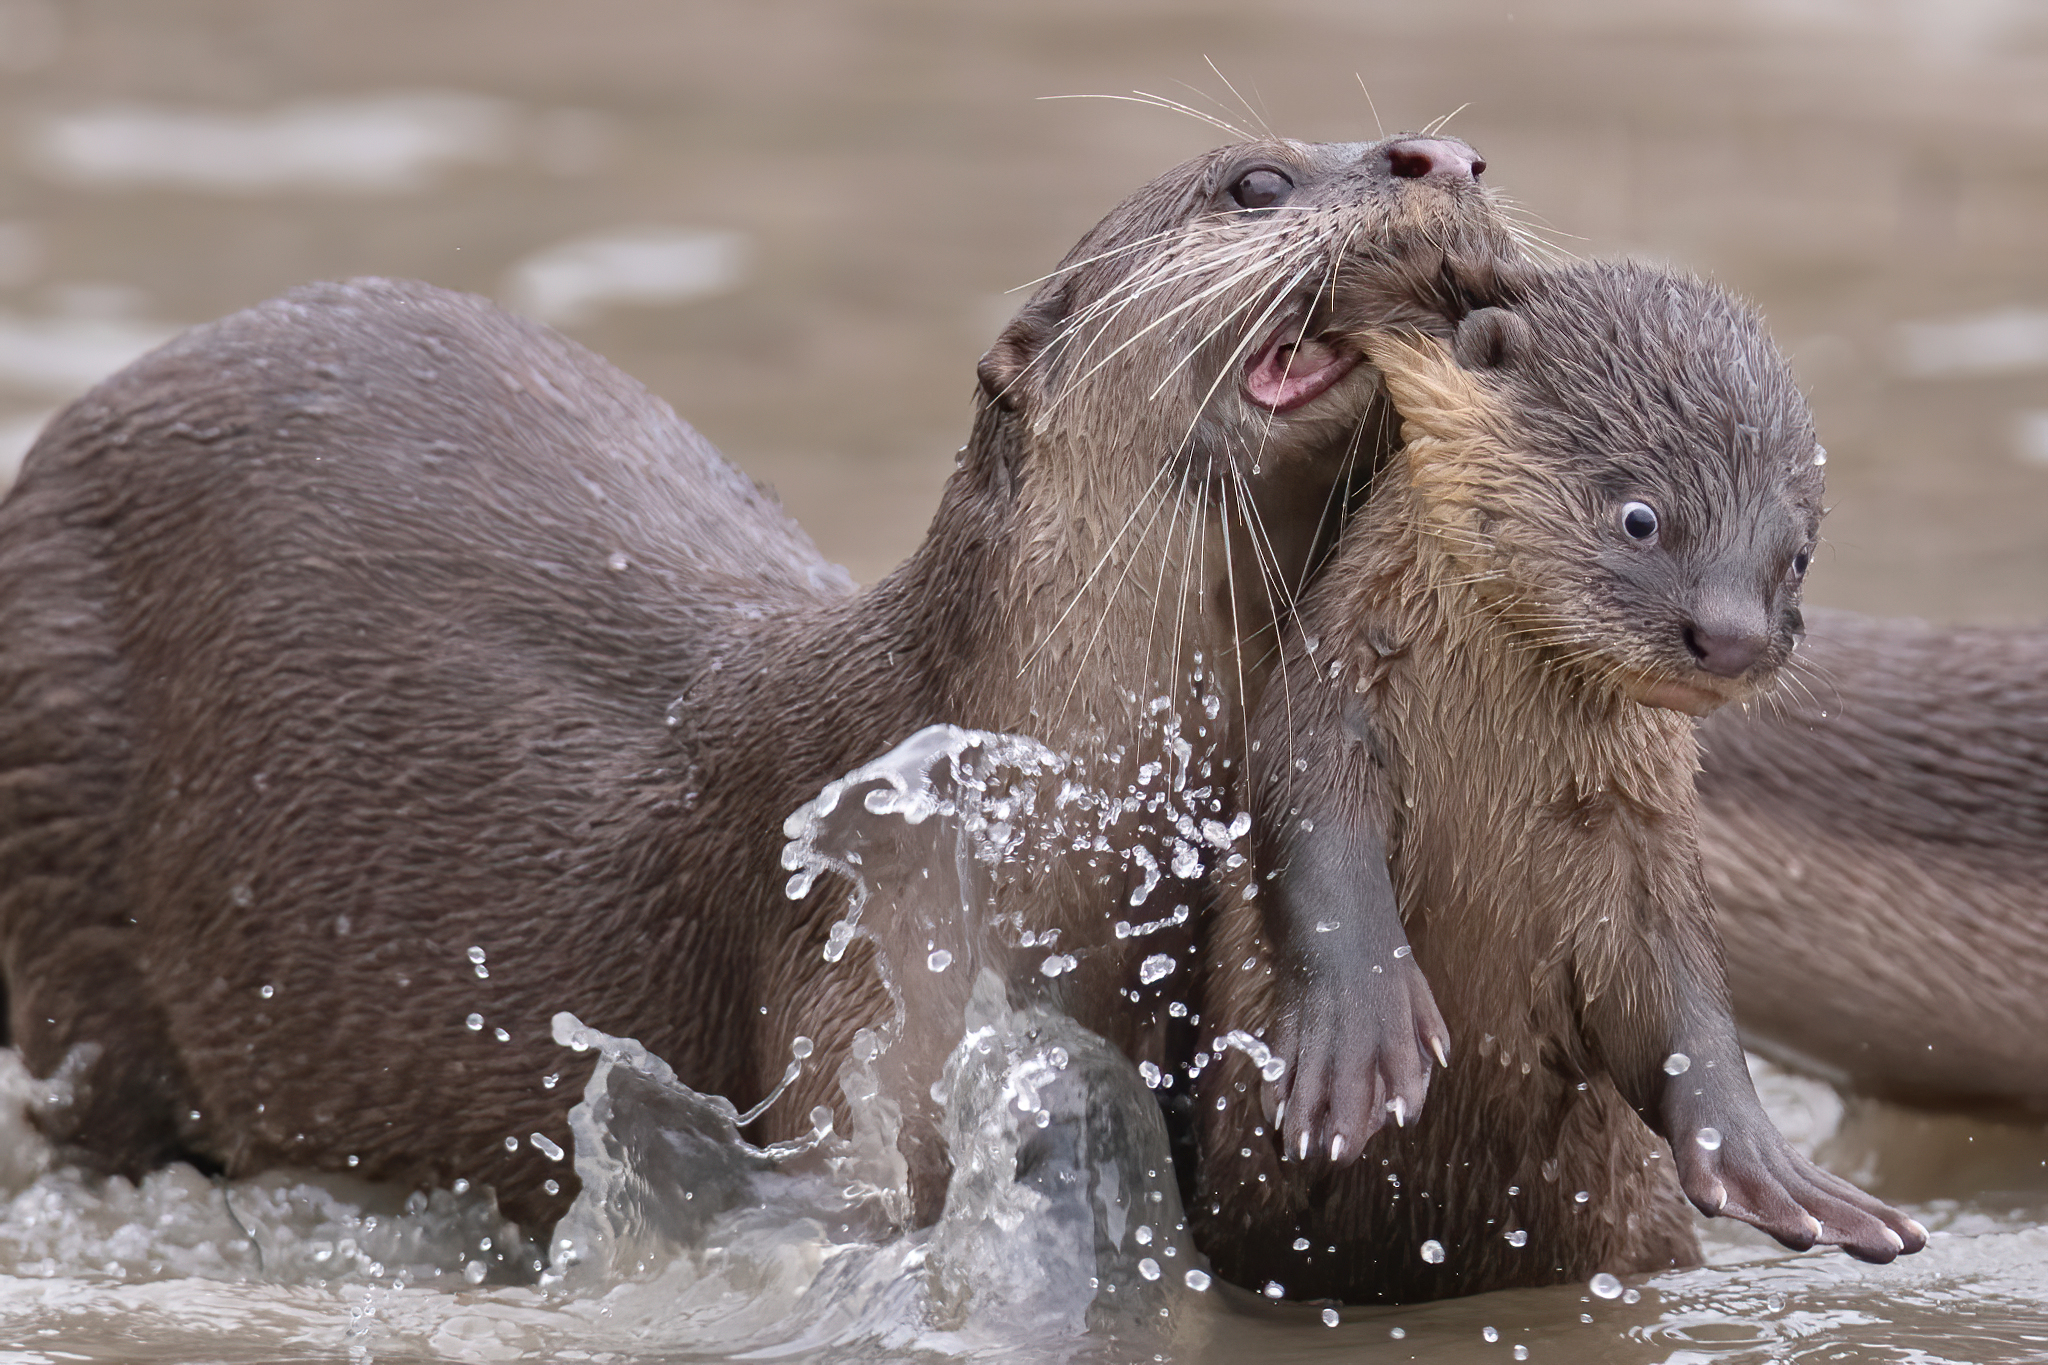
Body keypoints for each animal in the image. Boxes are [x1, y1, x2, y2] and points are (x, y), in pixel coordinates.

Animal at [1191, 262, 1925, 1303]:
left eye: (1798, 555)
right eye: (1642, 516)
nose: (1733, 635)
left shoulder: (1643, 828)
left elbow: (1682, 992)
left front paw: (1767, 1162)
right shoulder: (1328, 705)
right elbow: (1315, 846)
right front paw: (1358, 1045)